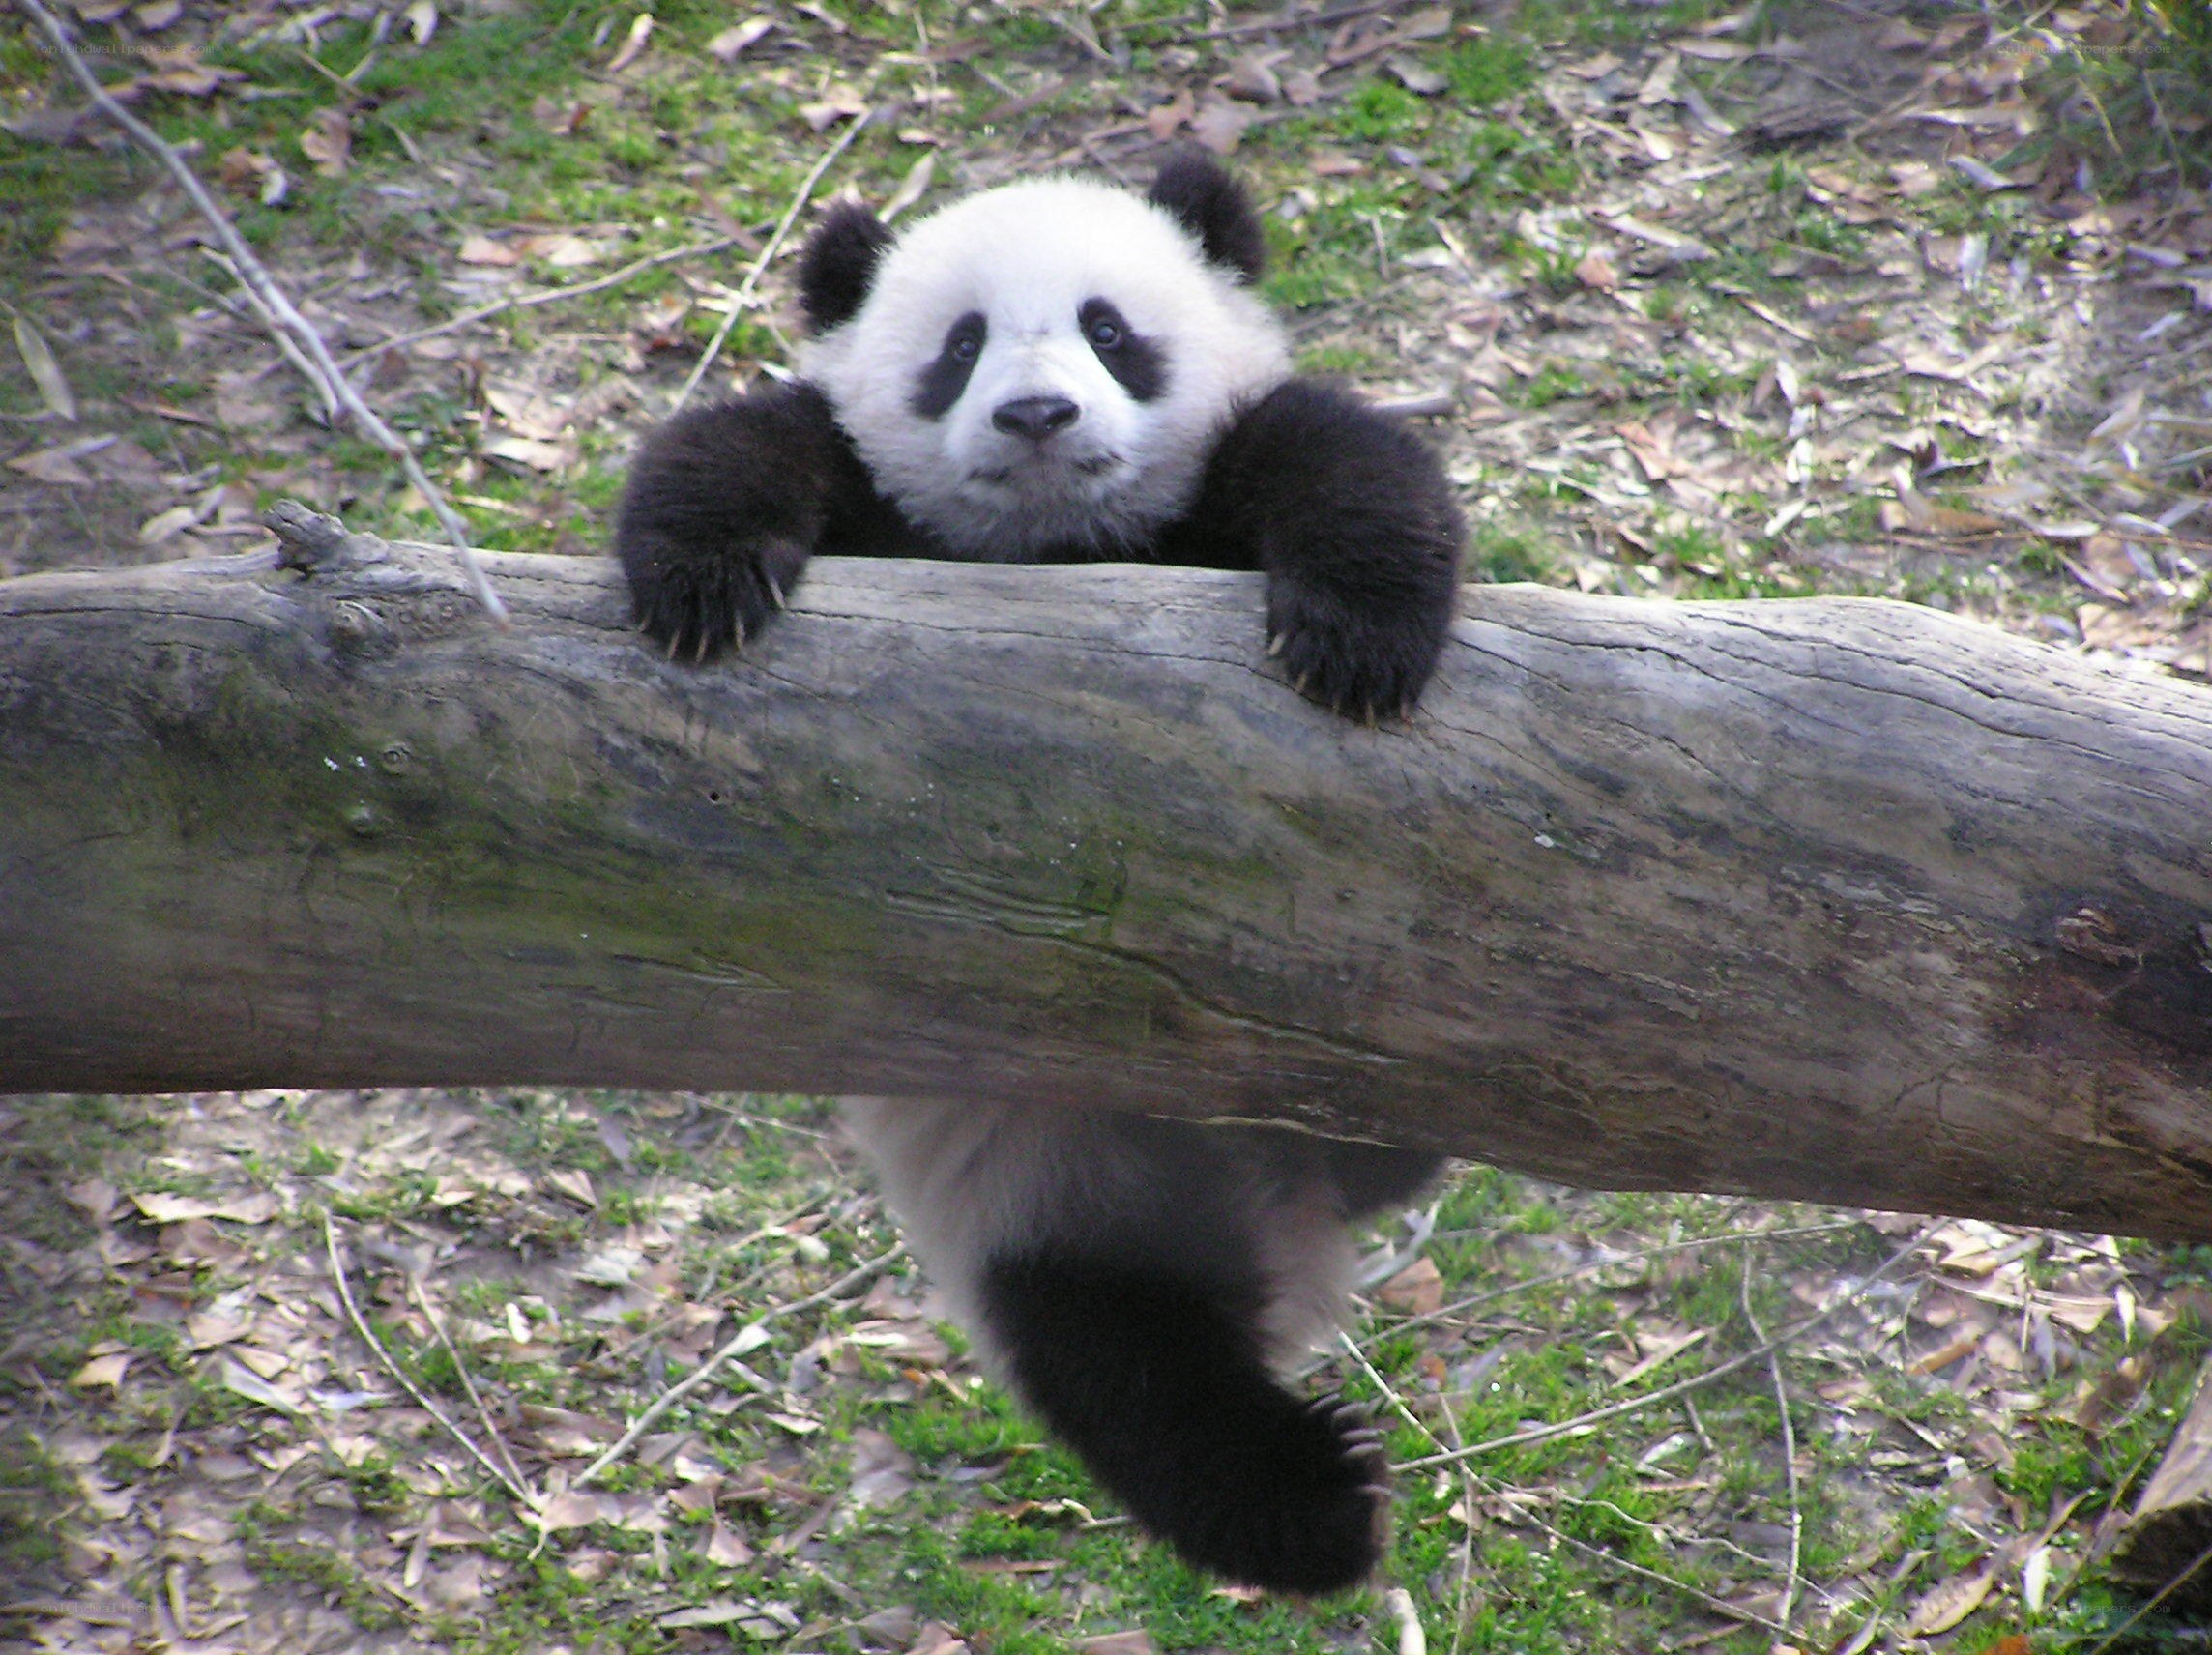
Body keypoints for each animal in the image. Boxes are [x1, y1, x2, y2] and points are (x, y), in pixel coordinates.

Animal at [615, 151, 1457, 1595]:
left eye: (1107, 328)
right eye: (959, 347)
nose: (1038, 413)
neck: (1061, 553)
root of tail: (1268, 1226)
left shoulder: (1205, 495)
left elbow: (1335, 453)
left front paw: (1357, 641)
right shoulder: (885, 515)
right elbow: (748, 443)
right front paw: (703, 584)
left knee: (1378, 1149)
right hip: (1041, 1206)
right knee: (1134, 1378)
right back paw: (1320, 1505)